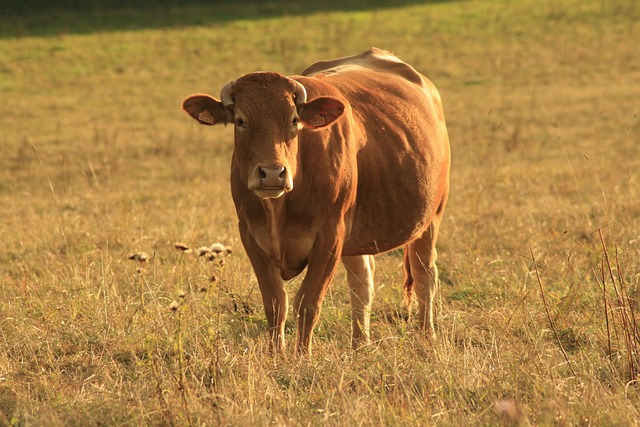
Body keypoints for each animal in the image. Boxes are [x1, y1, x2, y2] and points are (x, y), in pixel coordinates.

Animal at [180, 47, 450, 354]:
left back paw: (426, 336)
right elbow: (275, 304)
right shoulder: (250, 234)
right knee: (362, 283)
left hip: (430, 217)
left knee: (424, 275)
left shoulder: (330, 236)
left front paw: (301, 356)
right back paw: (359, 344)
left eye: (293, 121)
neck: (279, 209)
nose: (271, 173)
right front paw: (277, 355)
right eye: (240, 121)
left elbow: (308, 303)